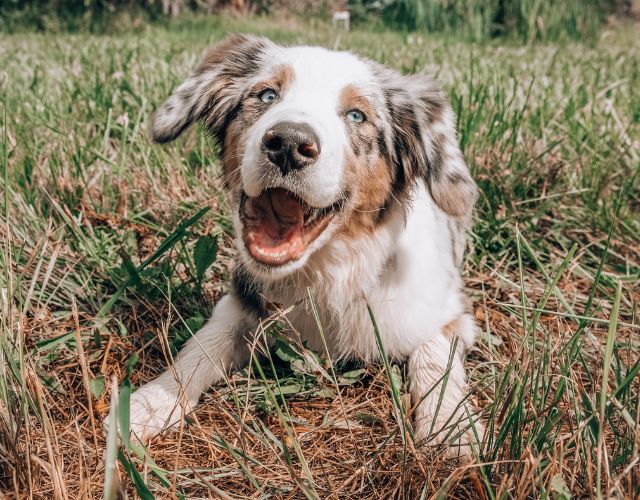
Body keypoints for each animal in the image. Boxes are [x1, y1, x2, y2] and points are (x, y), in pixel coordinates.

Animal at [120, 34, 482, 458]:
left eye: (356, 116)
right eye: (266, 94)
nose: (289, 144)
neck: (327, 272)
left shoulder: (451, 311)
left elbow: (434, 356)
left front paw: (452, 429)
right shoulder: (242, 299)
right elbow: (201, 345)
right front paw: (148, 403)